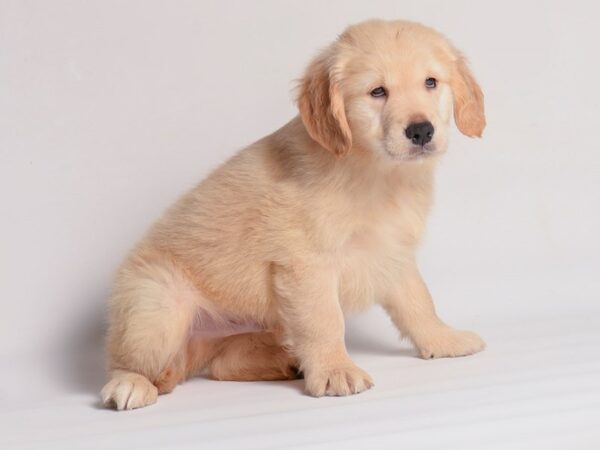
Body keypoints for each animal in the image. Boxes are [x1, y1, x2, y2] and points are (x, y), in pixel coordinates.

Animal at [103, 19, 488, 410]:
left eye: (431, 82)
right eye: (377, 91)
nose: (421, 130)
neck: (375, 171)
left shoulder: (391, 252)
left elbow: (418, 302)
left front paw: (442, 340)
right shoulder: (306, 263)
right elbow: (325, 320)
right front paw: (335, 370)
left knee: (224, 365)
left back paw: (288, 363)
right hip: (157, 303)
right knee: (124, 360)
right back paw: (129, 385)